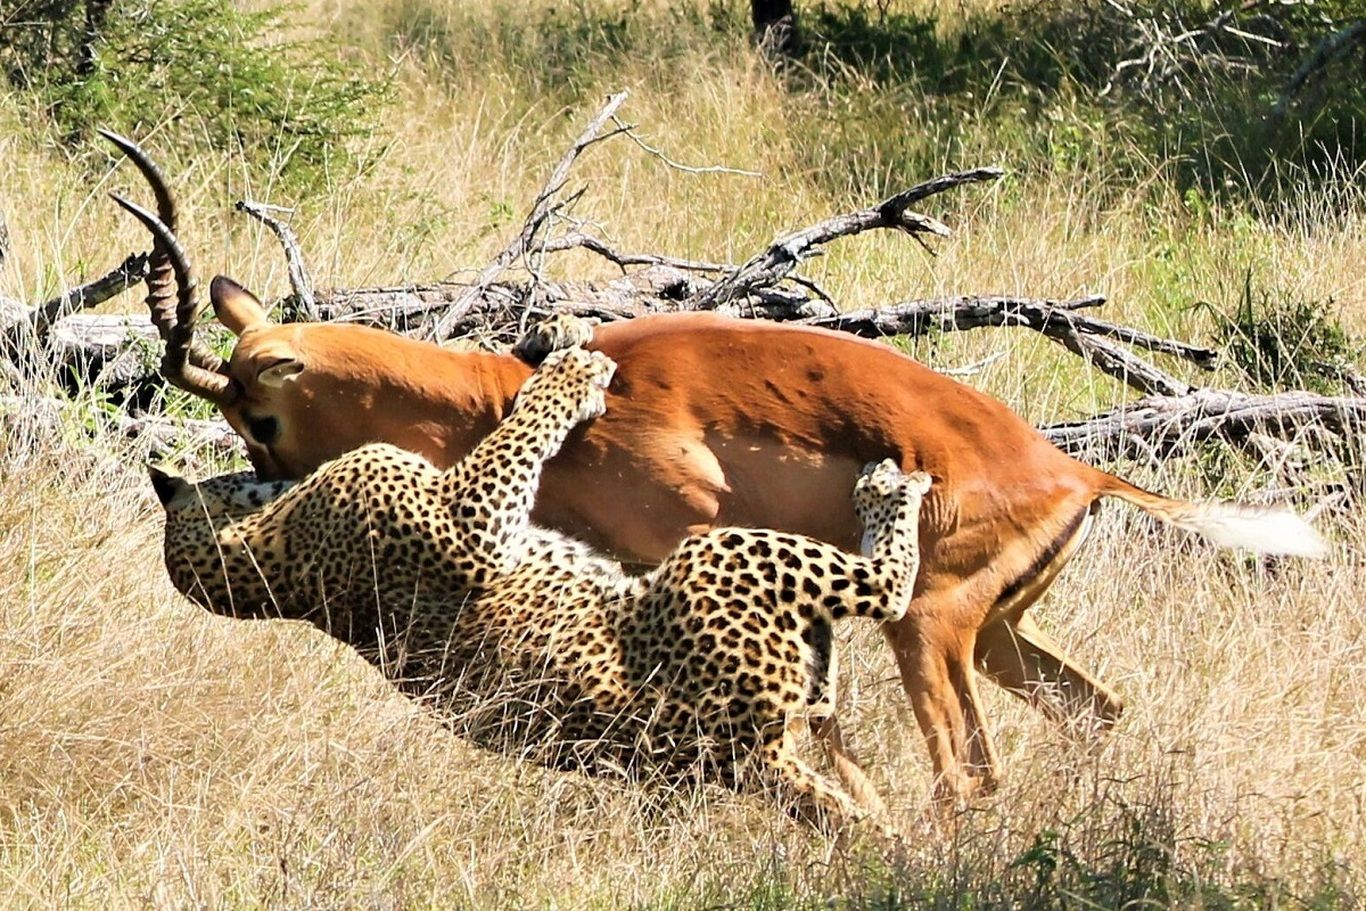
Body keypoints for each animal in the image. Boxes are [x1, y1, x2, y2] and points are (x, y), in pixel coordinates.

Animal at [155, 344, 934, 835]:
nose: (254, 467)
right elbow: (522, 428)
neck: (276, 565)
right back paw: (888, 485)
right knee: (887, 586)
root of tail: (743, 757)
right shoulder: (464, 518)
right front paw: (572, 370)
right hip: (722, 554)